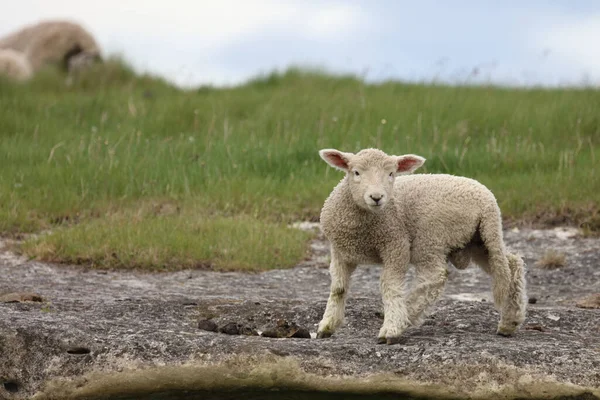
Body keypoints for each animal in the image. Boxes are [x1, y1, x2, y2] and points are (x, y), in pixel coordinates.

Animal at [316, 148, 528, 344]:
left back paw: (405, 315)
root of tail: (488, 201)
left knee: (435, 276)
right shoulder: (340, 252)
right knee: (510, 264)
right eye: (356, 172)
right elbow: (339, 288)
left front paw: (391, 328)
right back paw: (510, 321)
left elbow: (390, 286)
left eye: (391, 173)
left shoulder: (396, 244)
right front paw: (327, 325)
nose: (376, 197)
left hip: (432, 235)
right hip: (480, 239)